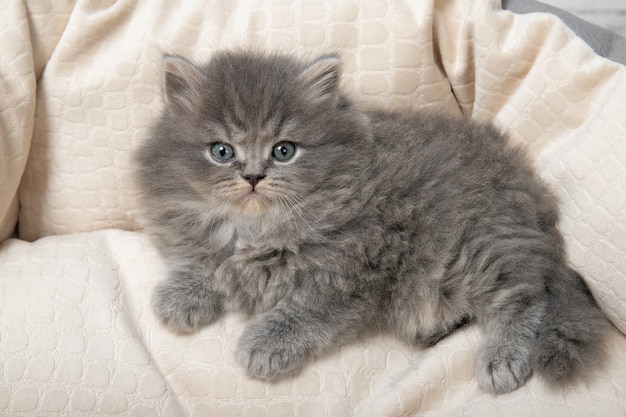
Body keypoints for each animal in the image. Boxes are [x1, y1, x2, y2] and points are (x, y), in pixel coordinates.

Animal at [134, 49, 608, 394]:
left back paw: (502, 358)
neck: (257, 227)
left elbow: (304, 311)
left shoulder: (353, 271)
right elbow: (207, 259)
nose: (252, 177)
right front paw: (183, 293)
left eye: (284, 150)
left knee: (528, 292)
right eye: (222, 151)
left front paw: (266, 343)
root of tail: (531, 192)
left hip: (472, 251)